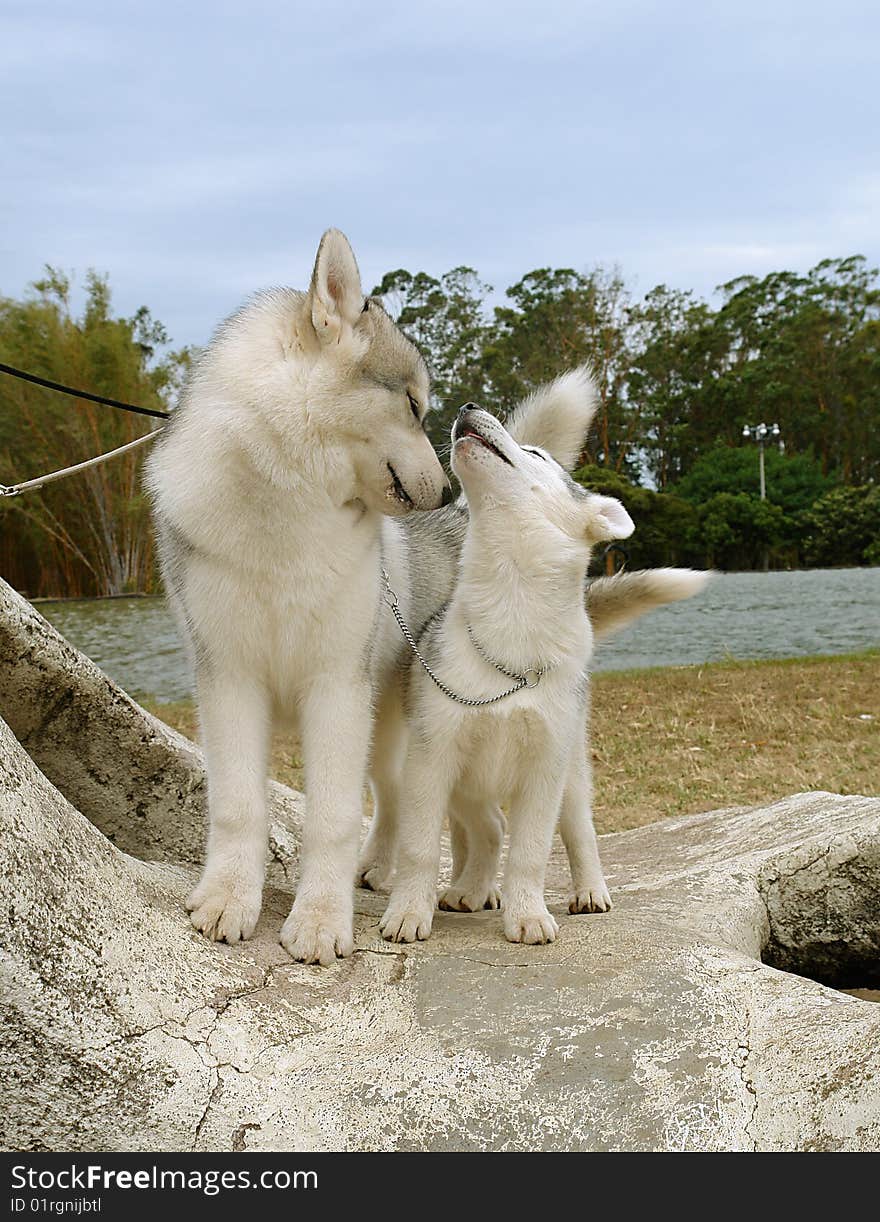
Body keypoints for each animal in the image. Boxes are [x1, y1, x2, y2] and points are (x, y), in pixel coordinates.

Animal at [378, 393, 708, 943]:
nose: (467, 406)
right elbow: (419, 849)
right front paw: (408, 912)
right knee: (489, 830)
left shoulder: (544, 771)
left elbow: (530, 853)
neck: (511, 627)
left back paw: (589, 891)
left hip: (570, 775)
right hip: (463, 784)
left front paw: (528, 914)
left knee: (577, 831)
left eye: (536, 453)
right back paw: (469, 889)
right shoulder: (432, 759)